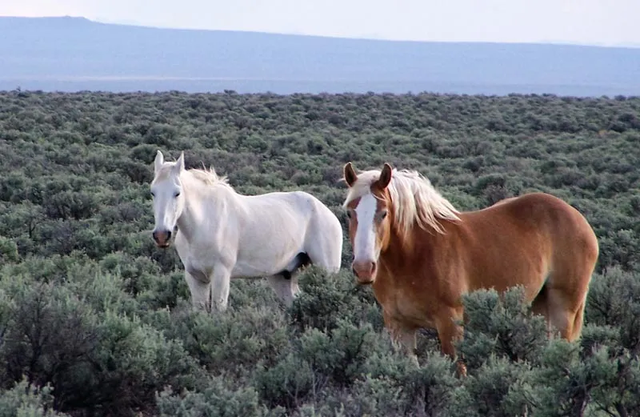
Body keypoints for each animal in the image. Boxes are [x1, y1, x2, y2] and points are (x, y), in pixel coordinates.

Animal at [149, 151, 342, 310]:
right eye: (153, 192)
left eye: (177, 193)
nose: (161, 235)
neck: (204, 223)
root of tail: (327, 212)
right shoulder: (195, 278)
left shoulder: (221, 275)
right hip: (282, 276)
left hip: (327, 270)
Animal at [344, 162, 600, 370]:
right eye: (349, 213)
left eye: (384, 213)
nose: (364, 268)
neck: (412, 256)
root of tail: (578, 218)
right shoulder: (399, 326)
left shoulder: (449, 323)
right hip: (536, 306)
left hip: (563, 309)